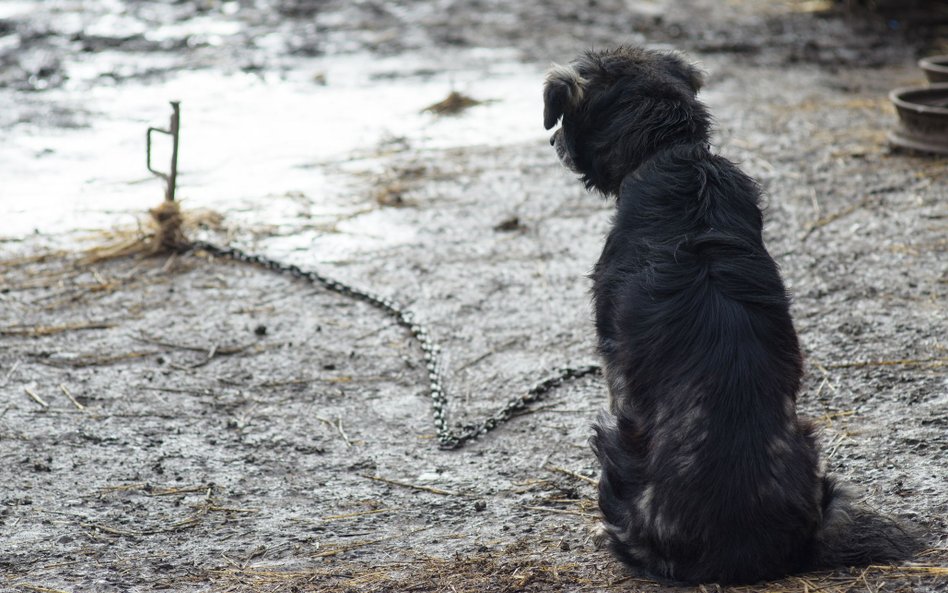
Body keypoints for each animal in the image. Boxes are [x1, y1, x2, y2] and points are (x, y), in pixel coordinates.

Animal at [548, 46, 920, 584]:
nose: (553, 140)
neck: (673, 156)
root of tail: (742, 552)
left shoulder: (614, 366)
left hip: (614, 447)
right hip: (810, 447)